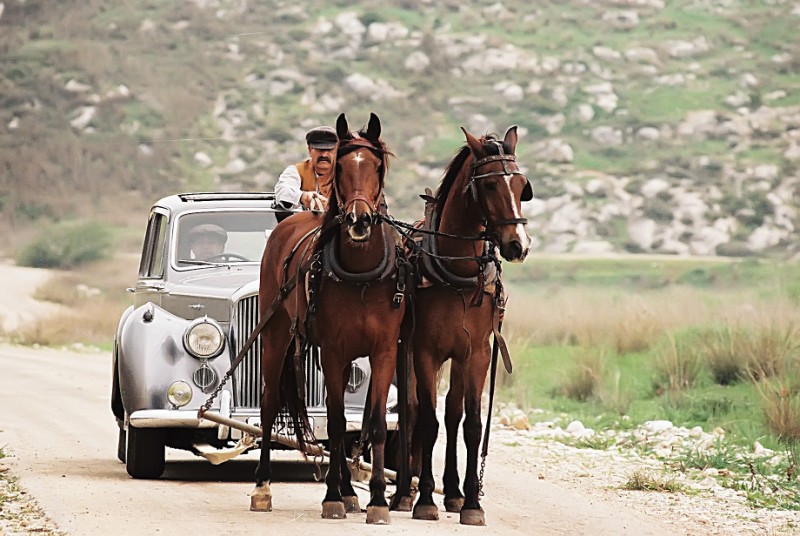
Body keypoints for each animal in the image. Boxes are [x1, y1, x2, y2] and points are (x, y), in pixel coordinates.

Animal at [250, 112, 406, 524]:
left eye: (377, 166)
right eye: (340, 166)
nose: (359, 220)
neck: (363, 275)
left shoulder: (383, 352)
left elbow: (375, 424)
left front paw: (377, 501)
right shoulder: (334, 351)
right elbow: (335, 424)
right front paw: (332, 497)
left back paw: (351, 493)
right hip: (276, 336)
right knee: (269, 405)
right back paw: (263, 487)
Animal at [406, 125, 532, 524]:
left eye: (521, 185)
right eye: (490, 185)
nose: (518, 245)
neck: (457, 272)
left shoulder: (476, 353)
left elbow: (471, 425)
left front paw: (472, 503)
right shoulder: (424, 352)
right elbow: (426, 420)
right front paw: (424, 499)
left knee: (452, 414)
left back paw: (453, 492)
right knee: (413, 409)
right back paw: (405, 491)